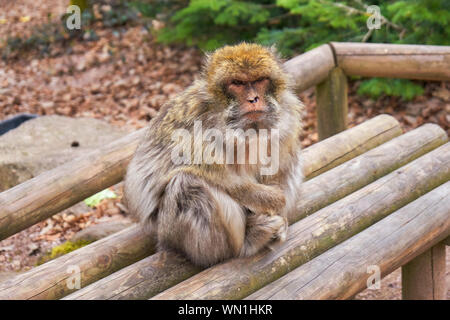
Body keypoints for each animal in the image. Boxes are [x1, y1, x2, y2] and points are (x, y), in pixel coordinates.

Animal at [125, 43, 304, 268]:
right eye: (237, 83)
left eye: (260, 80)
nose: (253, 99)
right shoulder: (194, 121)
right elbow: (191, 171)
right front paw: (271, 198)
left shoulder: (288, 116)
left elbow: (281, 165)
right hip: (174, 236)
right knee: (186, 183)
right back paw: (246, 242)